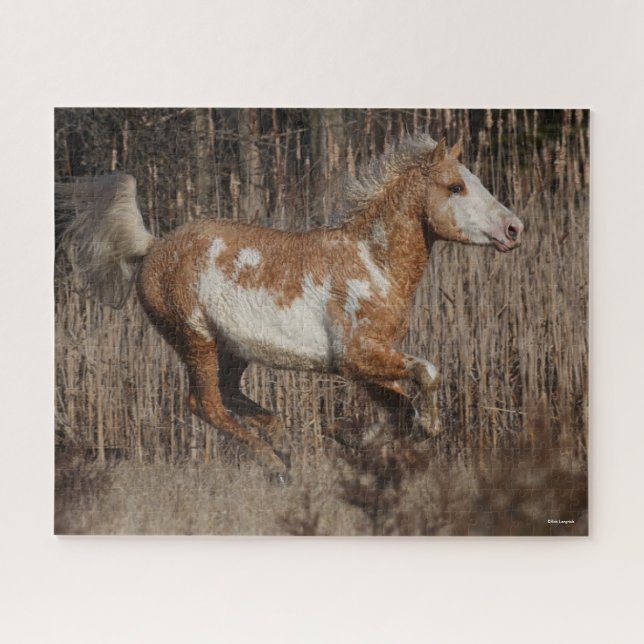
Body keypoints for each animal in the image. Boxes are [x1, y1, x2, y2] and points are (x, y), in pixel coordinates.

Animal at [56, 136, 523, 477]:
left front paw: (349, 436)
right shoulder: (358, 356)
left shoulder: (367, 364)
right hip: (195, 339)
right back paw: (274, 462)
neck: (373, 262)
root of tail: (151, 247)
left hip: (231, 351)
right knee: (205, 404)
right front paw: (421, 428)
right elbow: (427, 376)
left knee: (226, 396)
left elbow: (400, 408)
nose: (514, 228)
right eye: (456, 187)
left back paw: (282, 441)